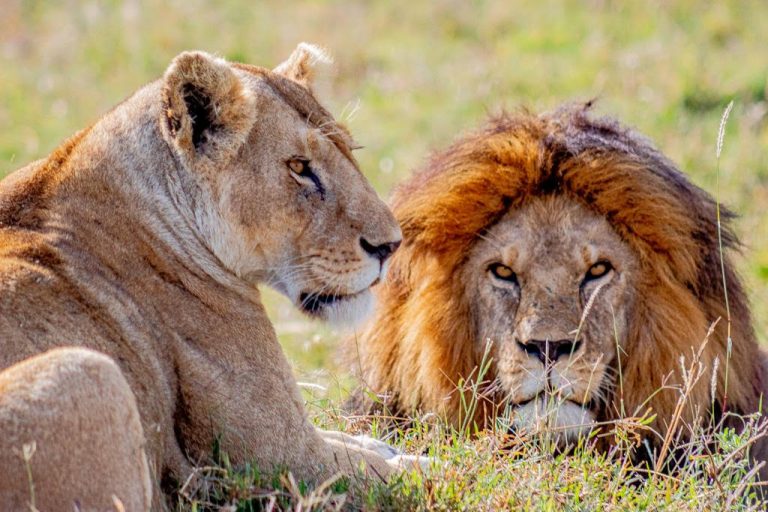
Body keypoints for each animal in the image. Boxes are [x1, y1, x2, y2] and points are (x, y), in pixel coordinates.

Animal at [0, 44, 416, 511]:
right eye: (299, 166)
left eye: (350, 150)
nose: (391, 245)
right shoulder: (283, 459)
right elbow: (411, 472)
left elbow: (365, 444)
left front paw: (387, 444)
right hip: (87, 370)